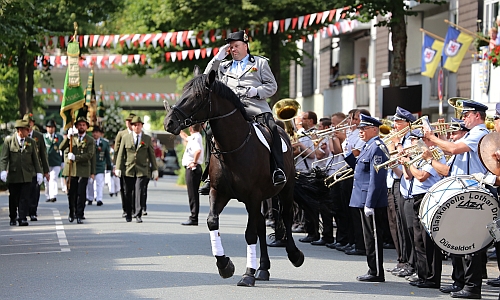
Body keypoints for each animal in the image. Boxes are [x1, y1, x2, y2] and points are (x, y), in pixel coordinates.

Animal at [164, 67, 304, 286]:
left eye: (196, 96)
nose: (169, 122)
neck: (233, 146)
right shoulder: (219, 192)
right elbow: (212, 222)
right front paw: (225, 265)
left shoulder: (254, 196)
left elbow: (249, 234)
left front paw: (247, 274)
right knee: (261, 223)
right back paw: (263, 268)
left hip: (286, 188)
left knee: (286, 216)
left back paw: (294, 255)